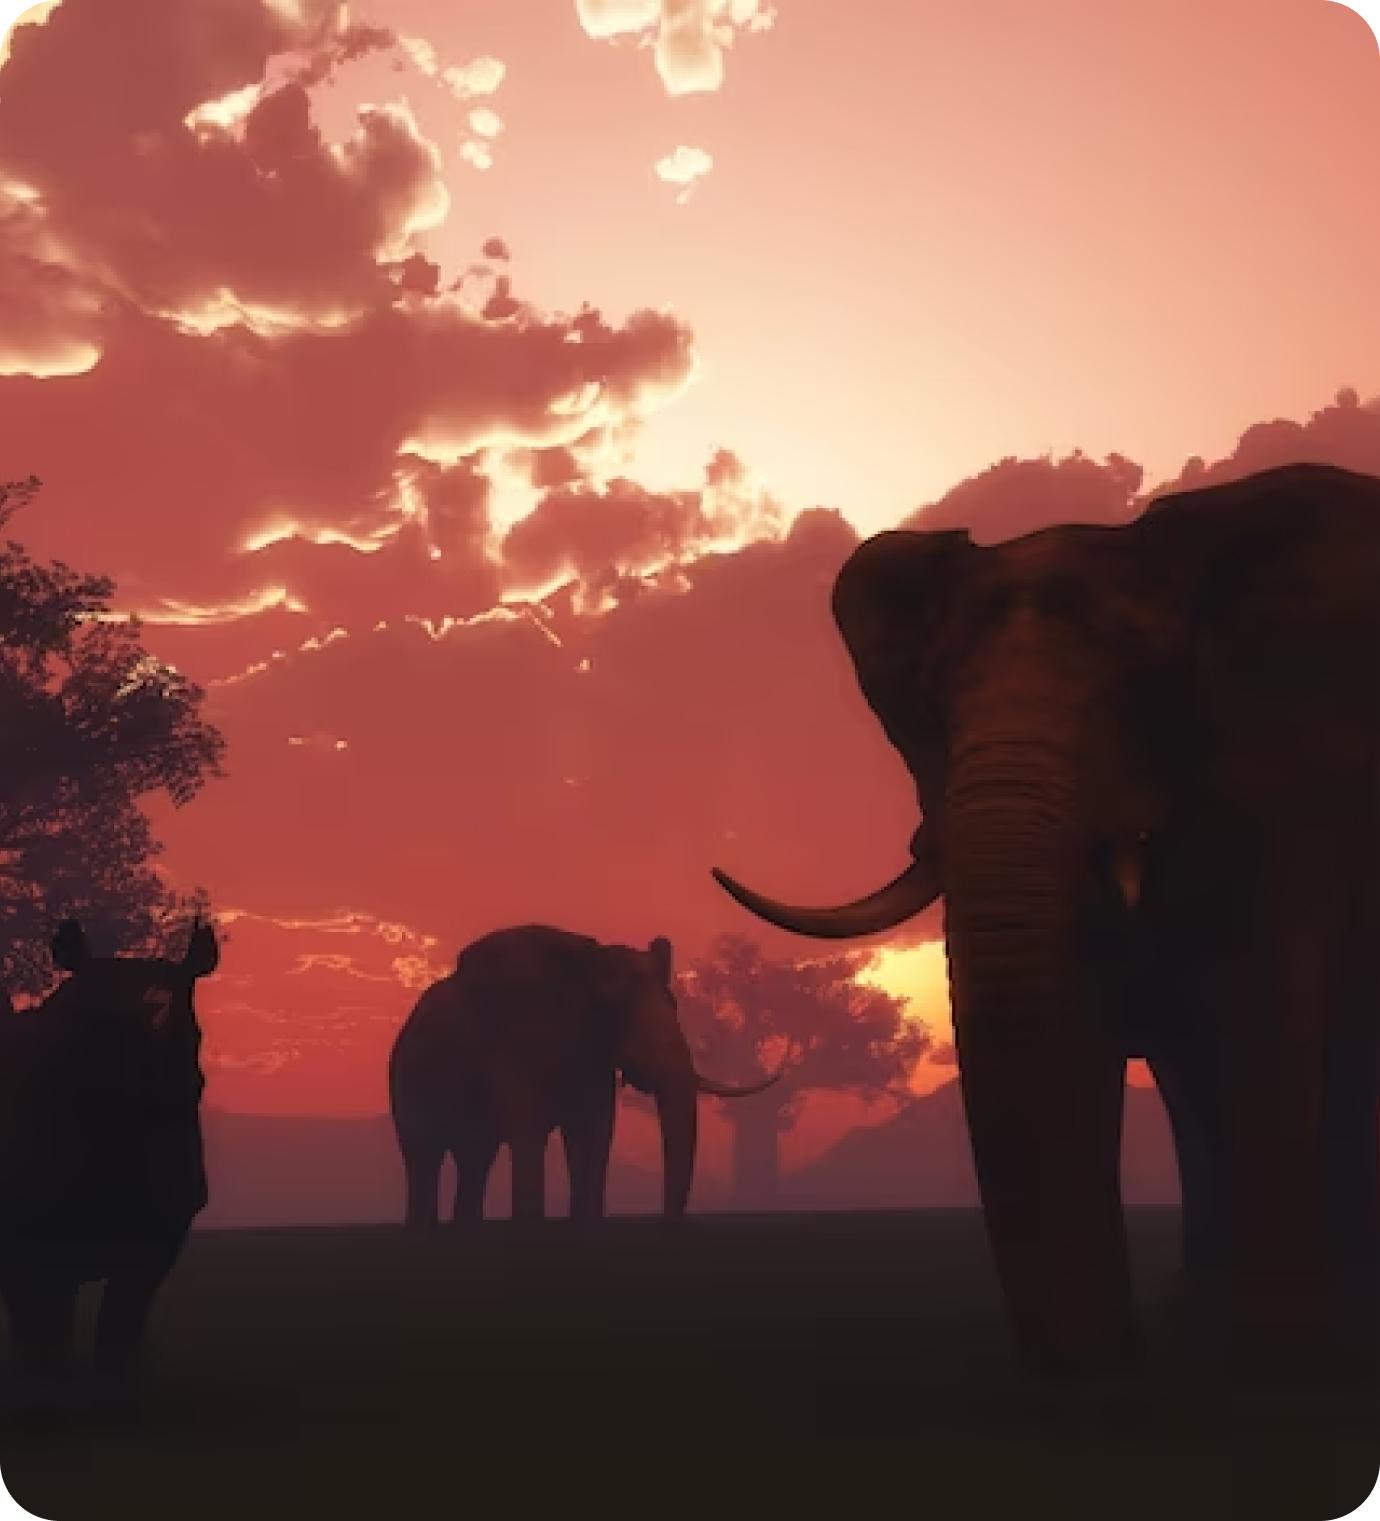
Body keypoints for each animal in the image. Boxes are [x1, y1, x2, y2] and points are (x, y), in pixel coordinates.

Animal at [0, 918, 219, 1383]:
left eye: (193, 1034)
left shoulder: (161, 1233)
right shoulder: (22, 1242)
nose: (151, 1094)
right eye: (89, 1030)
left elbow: (118, 1338)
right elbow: (40, 1342)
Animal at [389, 925, 781, 1225]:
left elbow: (595, 1132)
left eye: (674, 1005)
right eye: (614, 1010)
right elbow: (528, 1133)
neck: (587, 963)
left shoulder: (591, 1061)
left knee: (475, 1161)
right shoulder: (514, 1045)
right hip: (406, 1079)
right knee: (424, 1158)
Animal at [713, 461, 1380, 1377]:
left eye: (1146, 685)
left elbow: (1261, 1009)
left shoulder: (1290, 778)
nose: (1116, 1363)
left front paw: (1275, 1362)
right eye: (932, 703)